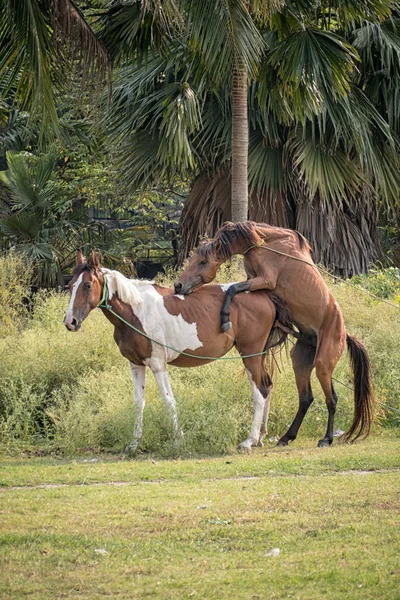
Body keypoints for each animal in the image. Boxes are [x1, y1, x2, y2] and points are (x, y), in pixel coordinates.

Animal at [65, 251, 290, 452]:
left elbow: (168, 401)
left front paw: (178, 440)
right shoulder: (136, 365)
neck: (137, 311)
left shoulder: (158, 365)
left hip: (250, 355)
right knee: (268, 386)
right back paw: (260, 436)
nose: (70, 322)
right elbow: (139, 403)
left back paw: (249, 440)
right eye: (70, 285)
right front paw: (134, 444)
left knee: (259, 392)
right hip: (258, 356)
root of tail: (265, 296)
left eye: (87, 285)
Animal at [175, 220, 376, 446]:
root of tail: (344, 334)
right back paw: (287, 437)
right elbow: (235, 289)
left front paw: (225, 319)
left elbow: (232, 289)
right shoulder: (256, 282)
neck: (265, 242)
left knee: (331, 399)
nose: (178, 285)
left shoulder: (265, 280)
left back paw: (326, 438)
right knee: (306, 398)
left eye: (202, 262)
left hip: (323, 365)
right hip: (300, 362)